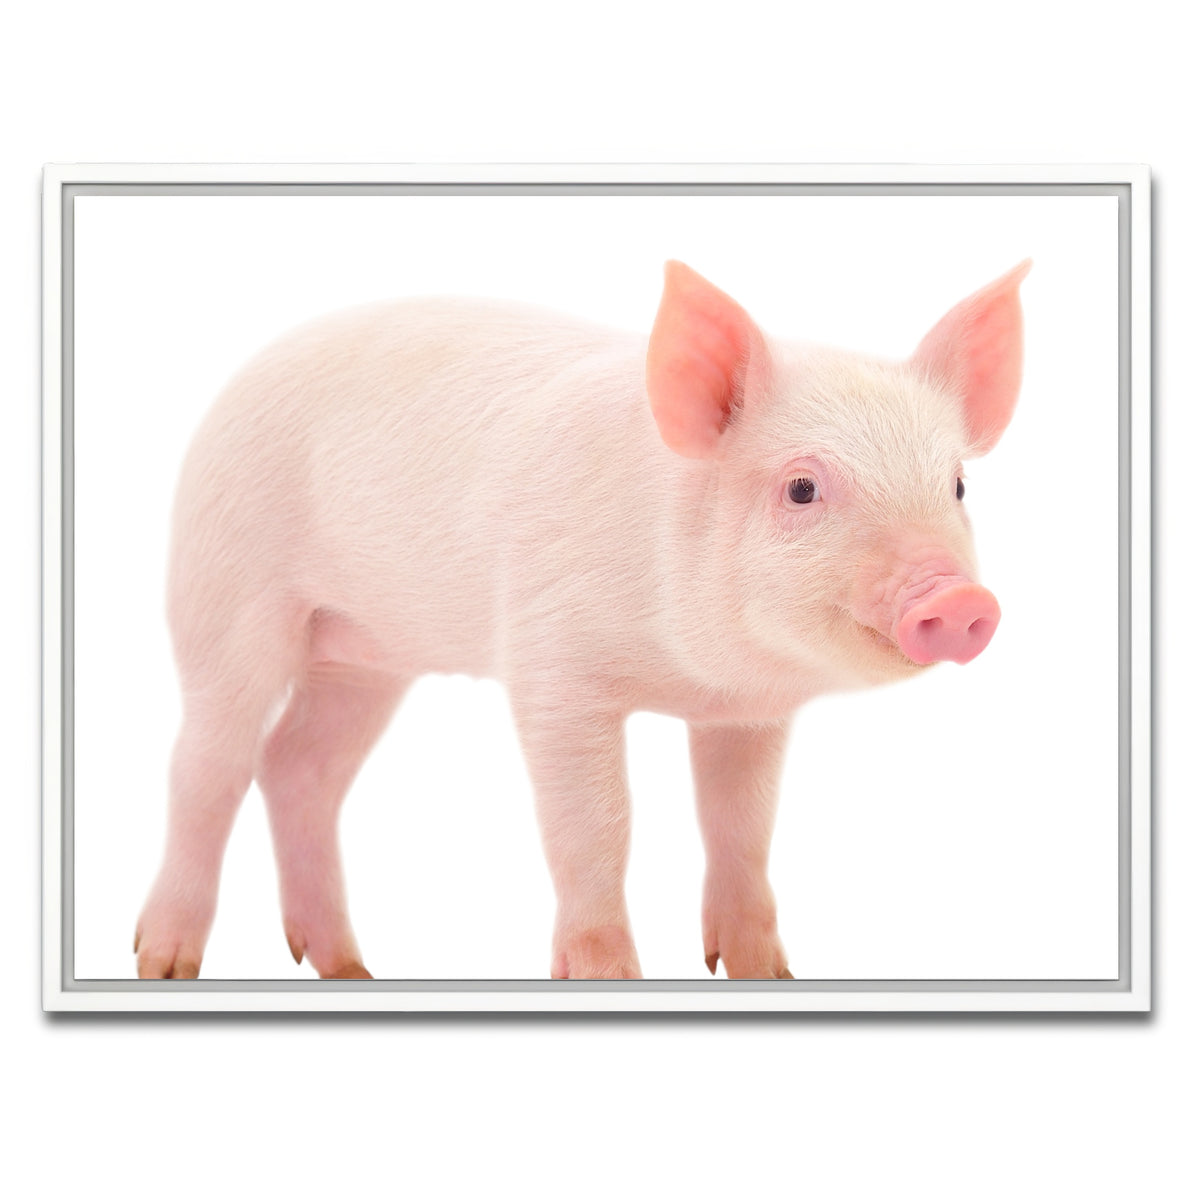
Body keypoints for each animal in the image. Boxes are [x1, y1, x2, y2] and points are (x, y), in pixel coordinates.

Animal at [134, 258, 1031, 981]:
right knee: (208, 766)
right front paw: (607, 976)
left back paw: (351, 969)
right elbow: (597, 826)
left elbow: (741, 826)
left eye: (956, 485)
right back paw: (163, 962)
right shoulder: (551, 668)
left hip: (365, 656)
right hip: (226, 590)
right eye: (802, 488)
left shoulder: (749, 713)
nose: (959, 600)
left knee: (299, 767)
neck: (692, 676)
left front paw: (764, 974)